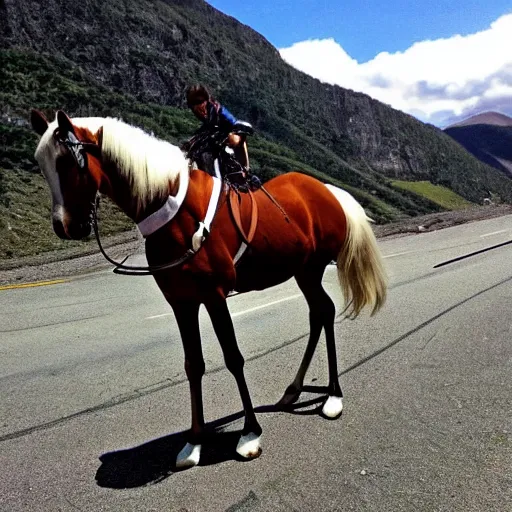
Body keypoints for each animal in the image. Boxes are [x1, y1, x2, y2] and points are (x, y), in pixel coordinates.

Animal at [30, 108, 386, 468]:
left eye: (68, 162)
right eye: (42, 166)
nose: (65, 227)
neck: (176, 216)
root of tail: (328, 191)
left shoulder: (214, 296)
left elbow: (233, 358)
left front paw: (249, 433)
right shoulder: (181, 302)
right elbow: (194, 365)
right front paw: (194, 441)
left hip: (311, 268)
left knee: (324, 312)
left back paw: (333, 396)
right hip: (303, 271)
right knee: (320, 313)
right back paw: (296, 390)